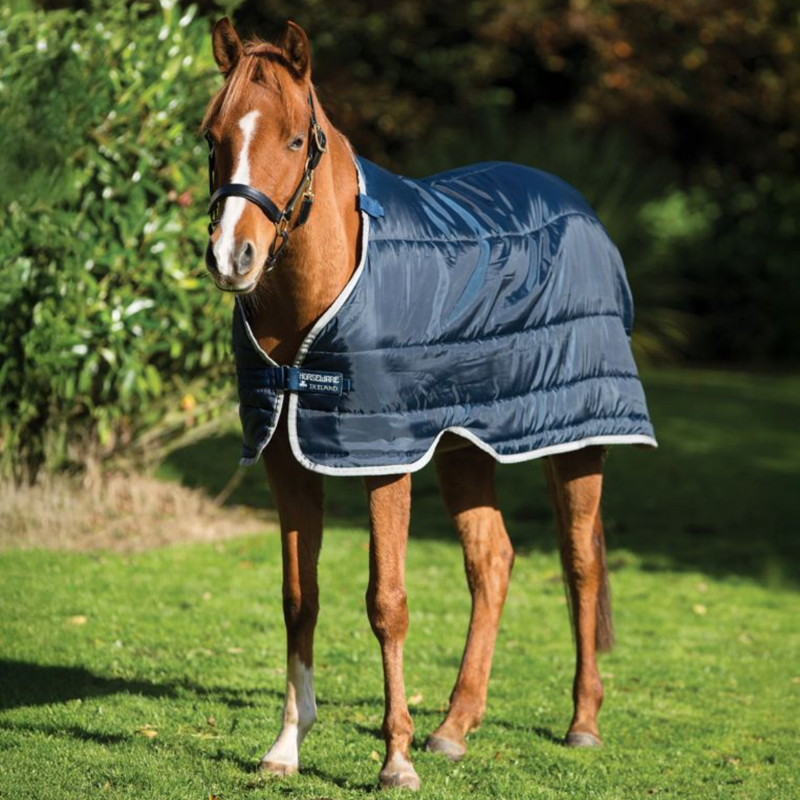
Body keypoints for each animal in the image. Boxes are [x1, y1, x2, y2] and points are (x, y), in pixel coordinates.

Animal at [201, 18, 655, 790]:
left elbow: (387, 603)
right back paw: (454, 727)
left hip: (576, 439)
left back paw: (582, 723)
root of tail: (578, 206)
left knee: (580, 565)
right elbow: (299, 599)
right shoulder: (288, 459)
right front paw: (286, 748)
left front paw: (395, 761)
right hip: (464, 447)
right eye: (212, 137)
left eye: (293, 140)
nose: (234, 257)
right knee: (492, 562)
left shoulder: (384, 460)